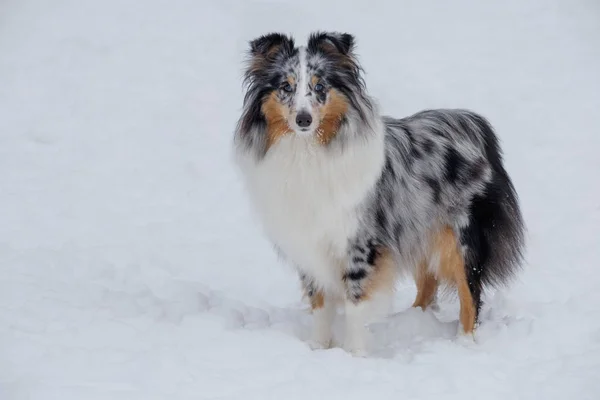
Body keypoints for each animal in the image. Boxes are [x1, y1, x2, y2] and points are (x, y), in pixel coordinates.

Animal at [232, 32, 524, 356]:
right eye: (286, 87)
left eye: (320, 87)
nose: (304, 120)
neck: (309, 151)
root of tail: (471, 122)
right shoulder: (308, 243)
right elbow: (319, 303)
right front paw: (318, 348)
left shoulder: (361, 243)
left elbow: (356, 303)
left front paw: (354, 355)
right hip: (418, 225)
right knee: (428, 282)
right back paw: (413, 320)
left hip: (461, 238)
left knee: (470, 290)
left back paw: (464, 341)